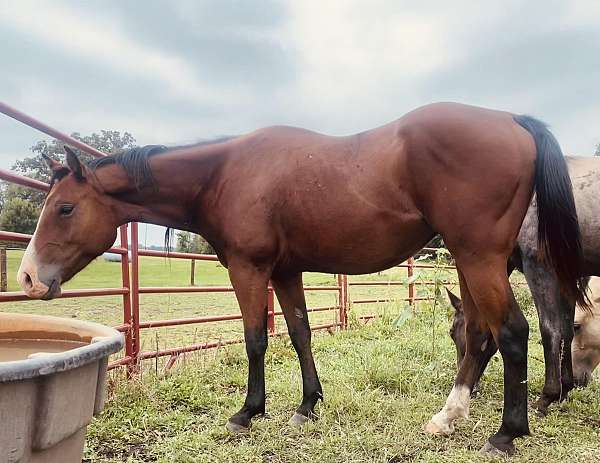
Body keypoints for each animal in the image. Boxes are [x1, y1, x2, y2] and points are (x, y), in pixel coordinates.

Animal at [15, 103, 584, 454]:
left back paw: (506, 433)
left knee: (513, 334)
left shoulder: (249, 269)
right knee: (480, 336)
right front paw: (308, 405)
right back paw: (449, 416)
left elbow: (255, 339)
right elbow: (299, 333)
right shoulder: (287, 271)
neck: (225, 174)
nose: (27, 277)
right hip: (469, 262)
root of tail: (511, 120)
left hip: (479, 258)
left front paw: (248, 412)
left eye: (64, 208)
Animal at [448, 156, 600, 414]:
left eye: (453, 332)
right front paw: (564, 388)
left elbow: (551, 329)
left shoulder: (539, 267)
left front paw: (547, 396)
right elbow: (567, 330)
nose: (471, 388)